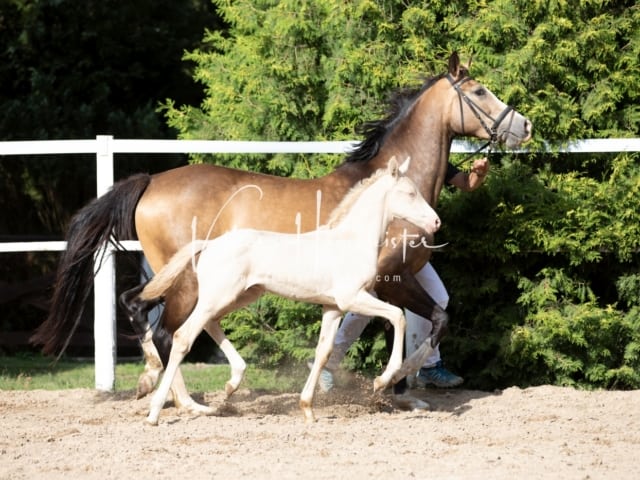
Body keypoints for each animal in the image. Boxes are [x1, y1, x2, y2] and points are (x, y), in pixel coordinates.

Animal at [33, 53, 536, 412]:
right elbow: (421, 321)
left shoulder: (389, 281)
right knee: (163, 329)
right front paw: (387, 383)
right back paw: (181, 399)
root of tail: (152, 181)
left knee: (149, 312)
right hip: (188, 281)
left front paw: (398, 389)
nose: (524, 125)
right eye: (479, 90)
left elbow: (421, 319)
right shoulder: (390, 280)